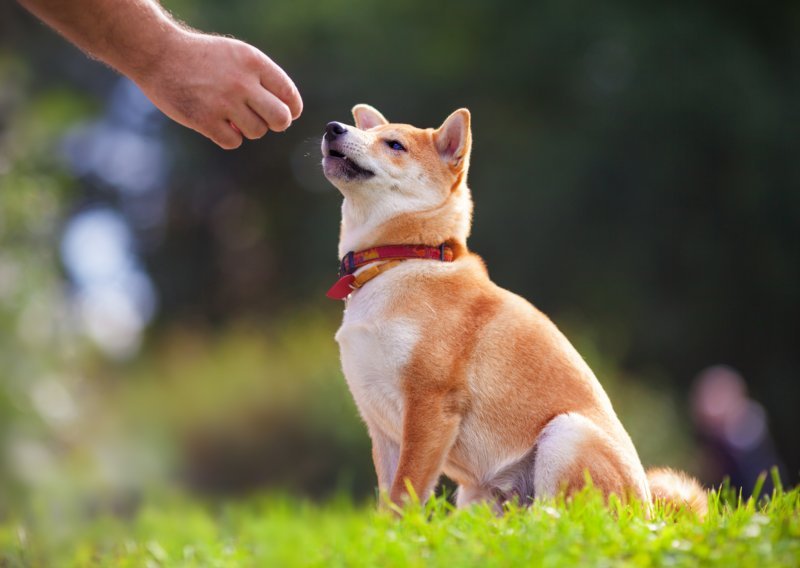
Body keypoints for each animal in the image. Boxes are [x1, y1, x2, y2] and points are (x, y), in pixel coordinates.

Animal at [318, 102, 708, 516]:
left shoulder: (430, 405)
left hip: (565, 433)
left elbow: (405, 493)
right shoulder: (381, 425)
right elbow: (388, 498)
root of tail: (647, 512)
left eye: (394, 144)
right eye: (369, 133)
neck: (399, 260)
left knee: (562, 517)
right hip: (477, 495)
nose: (333, 127)